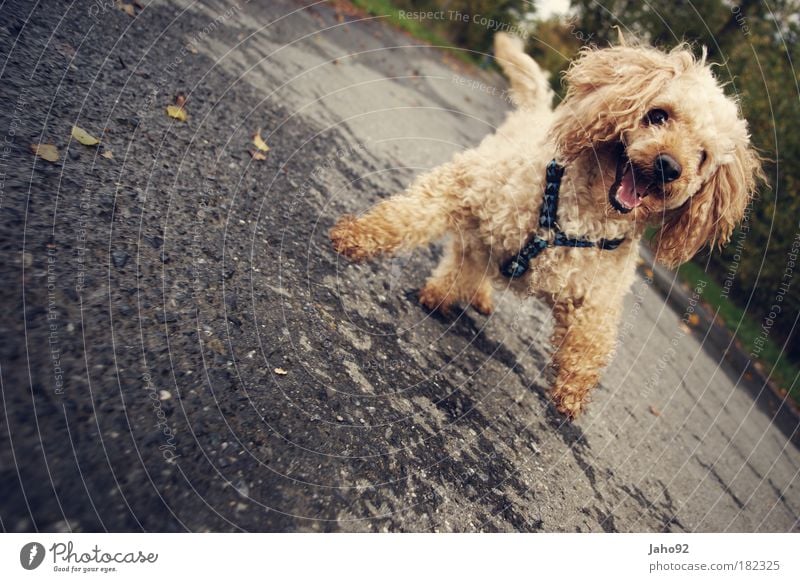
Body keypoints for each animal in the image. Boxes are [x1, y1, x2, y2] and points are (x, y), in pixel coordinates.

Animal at [330, 33, 764, 420]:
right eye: (658, 115)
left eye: (703, 156)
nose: (669, 166)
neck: (582, 217)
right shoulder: (464, 187)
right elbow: (406, 216)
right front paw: (355, 237)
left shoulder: (597, 295)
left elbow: (592, 341)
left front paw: (573, 392)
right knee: (466, 250)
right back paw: (446, 290)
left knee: (474, 259)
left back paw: (468, 292)